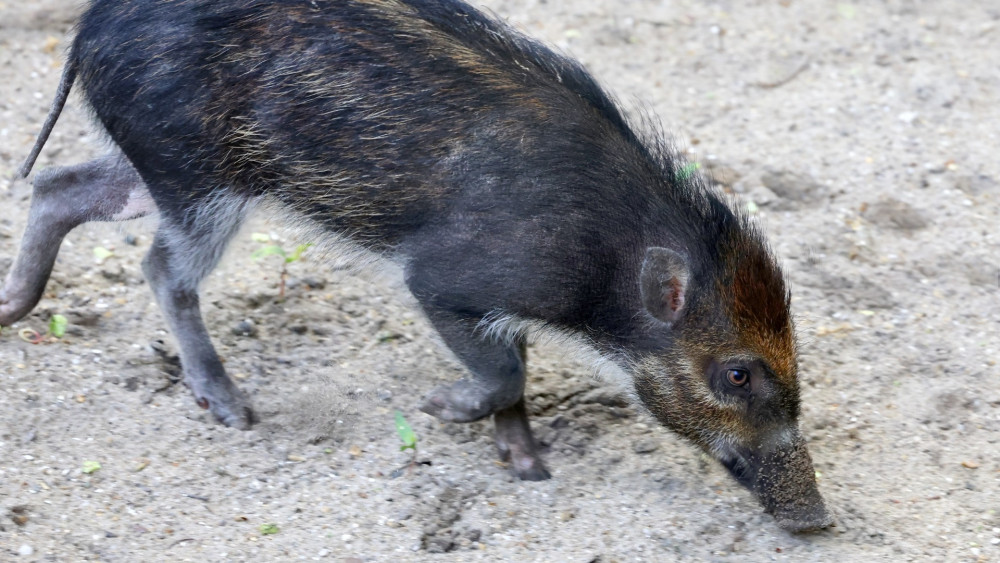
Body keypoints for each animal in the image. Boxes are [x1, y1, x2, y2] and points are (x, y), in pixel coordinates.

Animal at [1, 0, 833, 531]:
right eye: (736, 372)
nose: (819, 521)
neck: (609, 263)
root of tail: (87, 28)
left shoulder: (496, 306)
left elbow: (513, 372)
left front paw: (528, 467)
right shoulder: (443, 280)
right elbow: (506, 372)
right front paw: (440, 410)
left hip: (161, 168)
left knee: (61, 185)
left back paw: (13, 307)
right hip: (201, 180)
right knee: (160, 268)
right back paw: (233, 408)